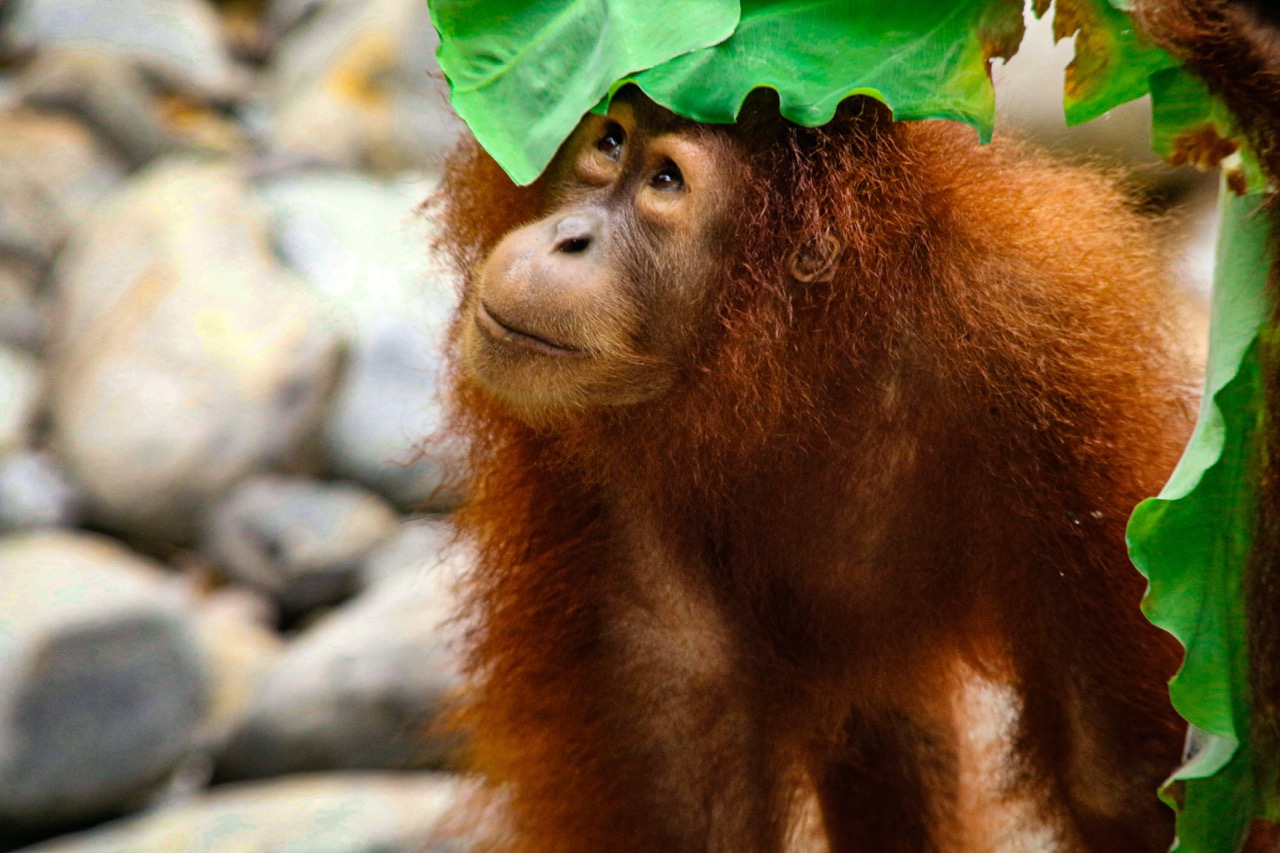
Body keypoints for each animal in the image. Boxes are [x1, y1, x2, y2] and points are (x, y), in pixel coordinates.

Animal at [432, 88, 1193, 852]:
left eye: (666, 181)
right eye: (610, 142)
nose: (569, 236)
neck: (806, 345)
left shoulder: (1048, 348)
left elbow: (1115, 775)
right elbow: (685, 735)